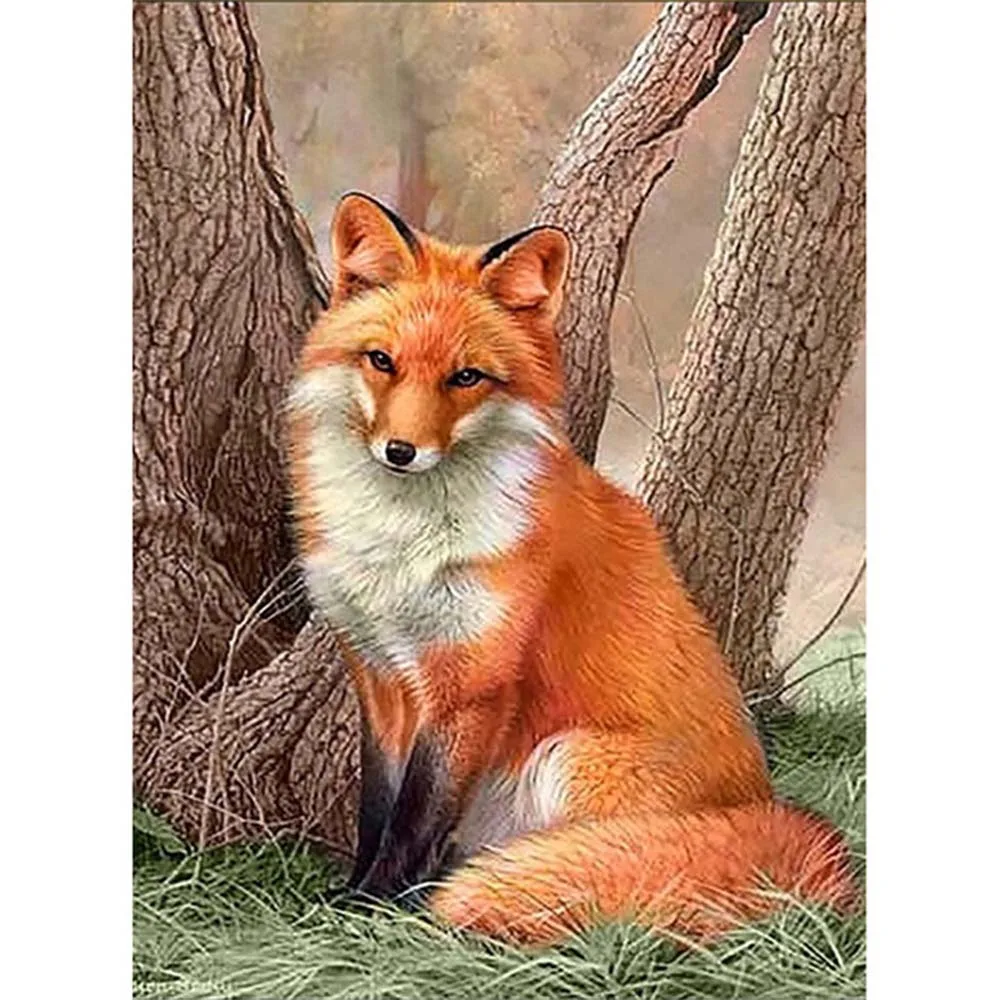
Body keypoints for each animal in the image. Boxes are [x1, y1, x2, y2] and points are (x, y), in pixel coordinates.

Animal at [286, 191, 856, 946]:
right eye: (381, 361)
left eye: (465, 377)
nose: (400, 451)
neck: (404, 547)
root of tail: (766, 808)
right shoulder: (378, 674)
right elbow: (377, 808)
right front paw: (355, 892)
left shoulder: (471, 682)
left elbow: (416, 815)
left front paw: (374, 909)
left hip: (569, 758)